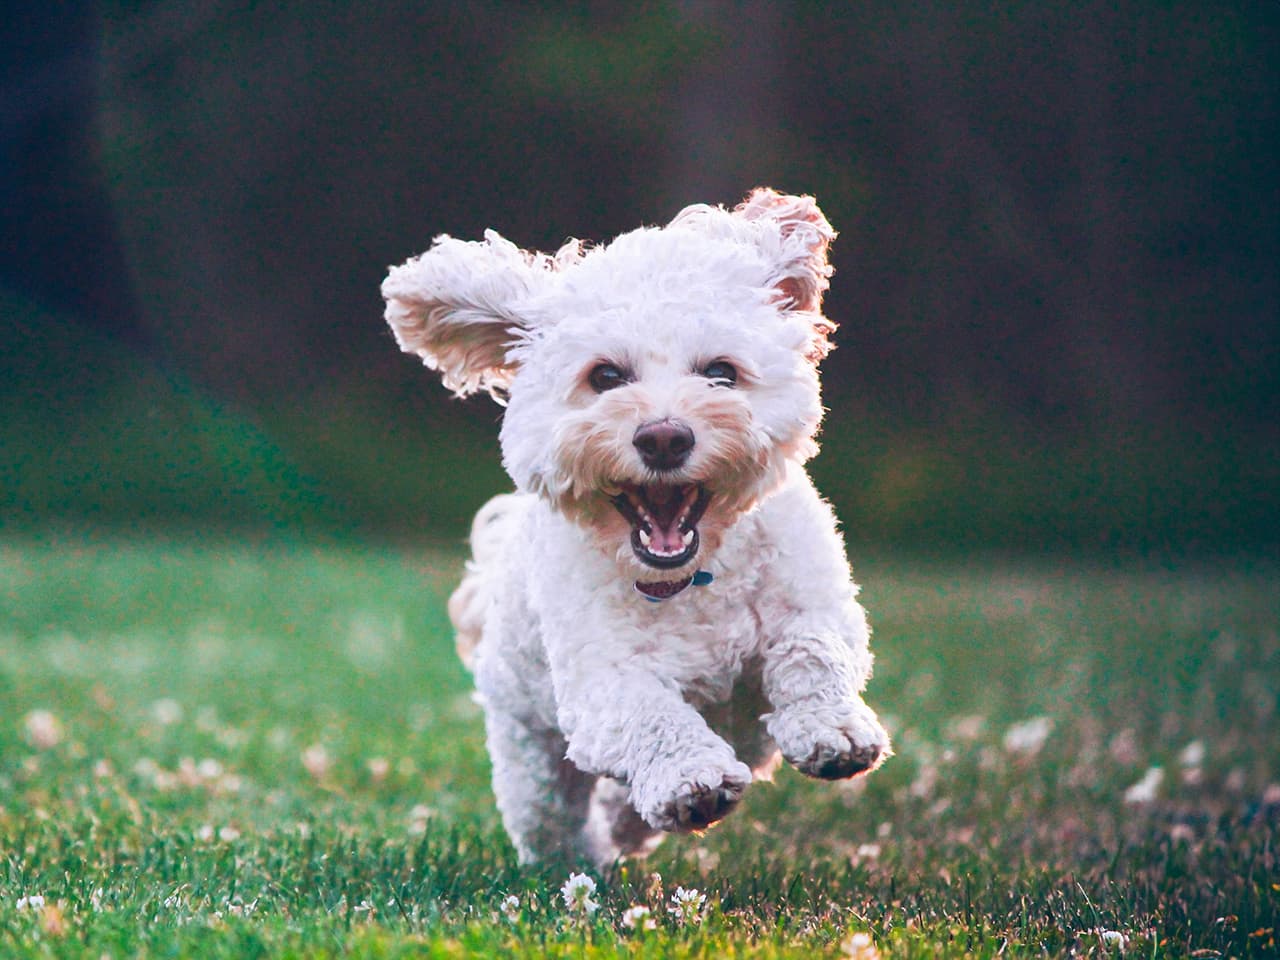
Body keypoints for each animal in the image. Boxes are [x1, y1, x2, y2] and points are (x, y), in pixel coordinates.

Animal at [378, 188, 890, 865]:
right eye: (605, 377)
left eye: (720, 372)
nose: (664, 437)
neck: (693, 577)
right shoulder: (602, 681)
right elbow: (651, 715)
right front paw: (689, 779)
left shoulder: (815, 601)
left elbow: (813, 651)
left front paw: (833, 729)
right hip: (529, 748)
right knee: (551, 816)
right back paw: (585, 856)